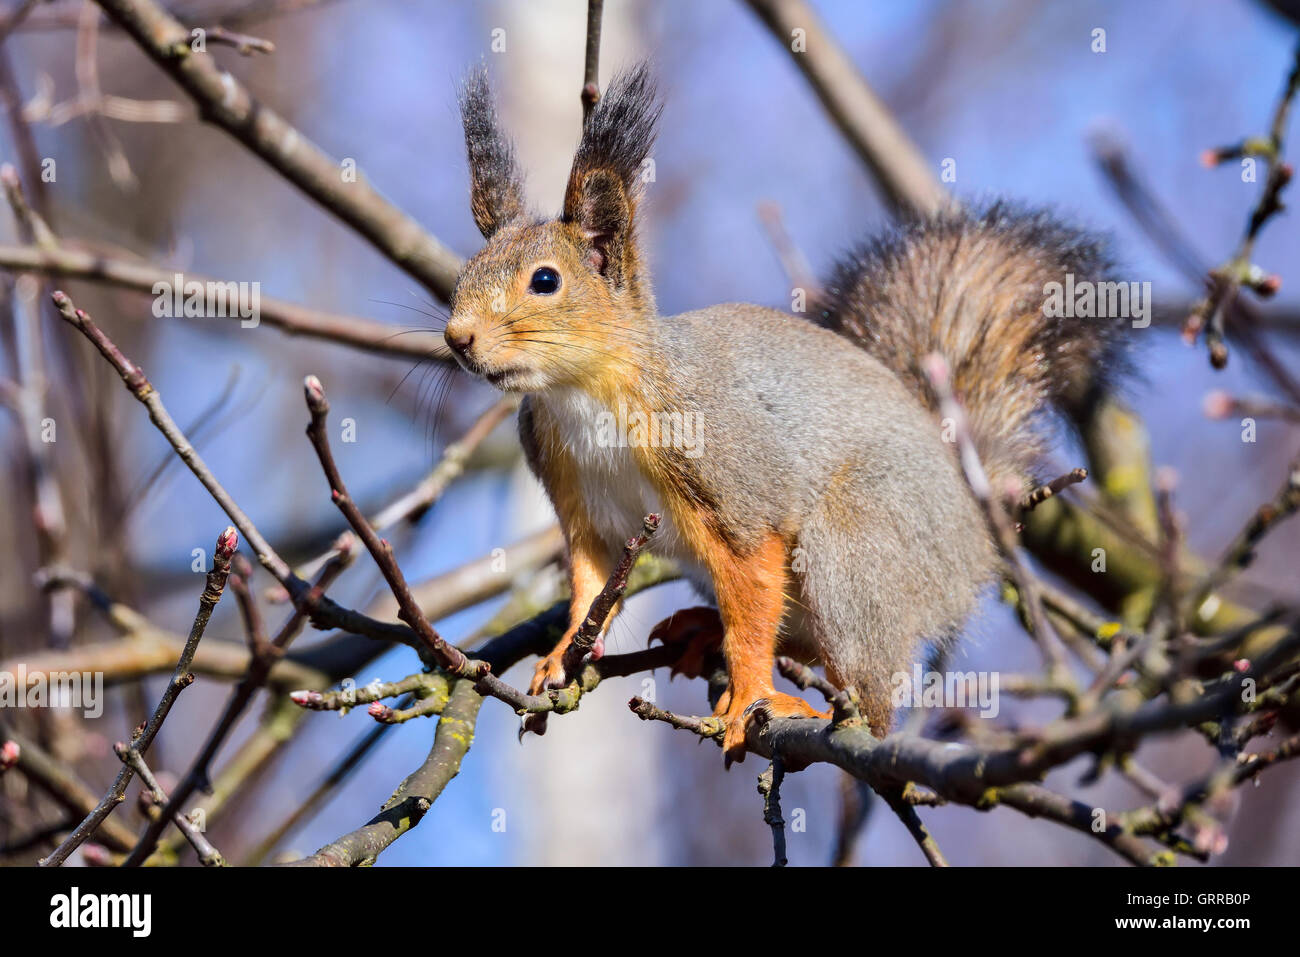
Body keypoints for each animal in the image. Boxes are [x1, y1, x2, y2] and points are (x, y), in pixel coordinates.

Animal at [445, 64, 1128, 763]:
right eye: (466, 273)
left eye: (545, 281)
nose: (457, 338)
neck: (584, 393)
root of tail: (974, 530)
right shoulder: (581, 504)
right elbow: (590, 586)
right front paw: (559, 660)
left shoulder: (730, 481)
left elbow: (752, 591)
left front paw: (749, 697)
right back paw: (704, 631)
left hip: (859, 543)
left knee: (869, 695)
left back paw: (827, 711)